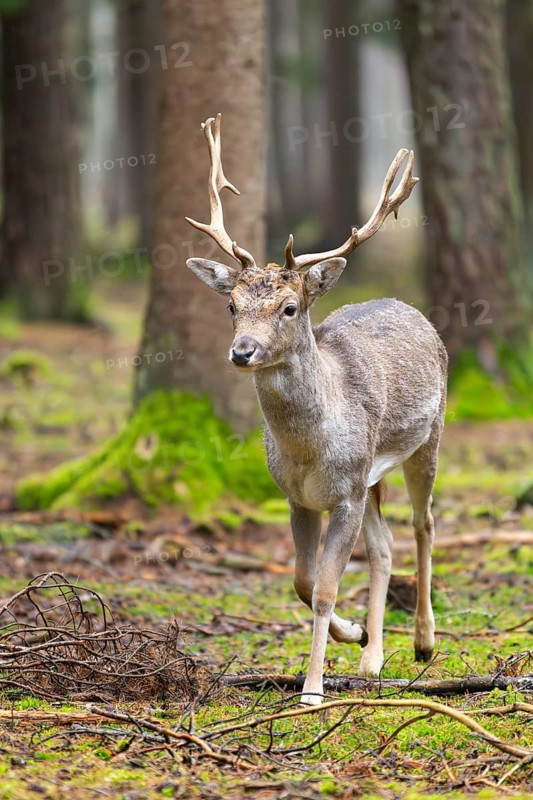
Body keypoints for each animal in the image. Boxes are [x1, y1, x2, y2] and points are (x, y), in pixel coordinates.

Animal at [185, 114, 447, 705]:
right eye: (231, 305)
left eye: (289, 307)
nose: (242, 351)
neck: (308, 450)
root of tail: (410, 307)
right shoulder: (299, 497)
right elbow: (303, 582)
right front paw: (352, 635)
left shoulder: (345, 492)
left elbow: (326, 588)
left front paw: (311, 690)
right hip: (372, 473)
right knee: (384, 545)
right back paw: (373, 657)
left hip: (428, 439)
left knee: (423, 524)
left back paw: (424, 641)